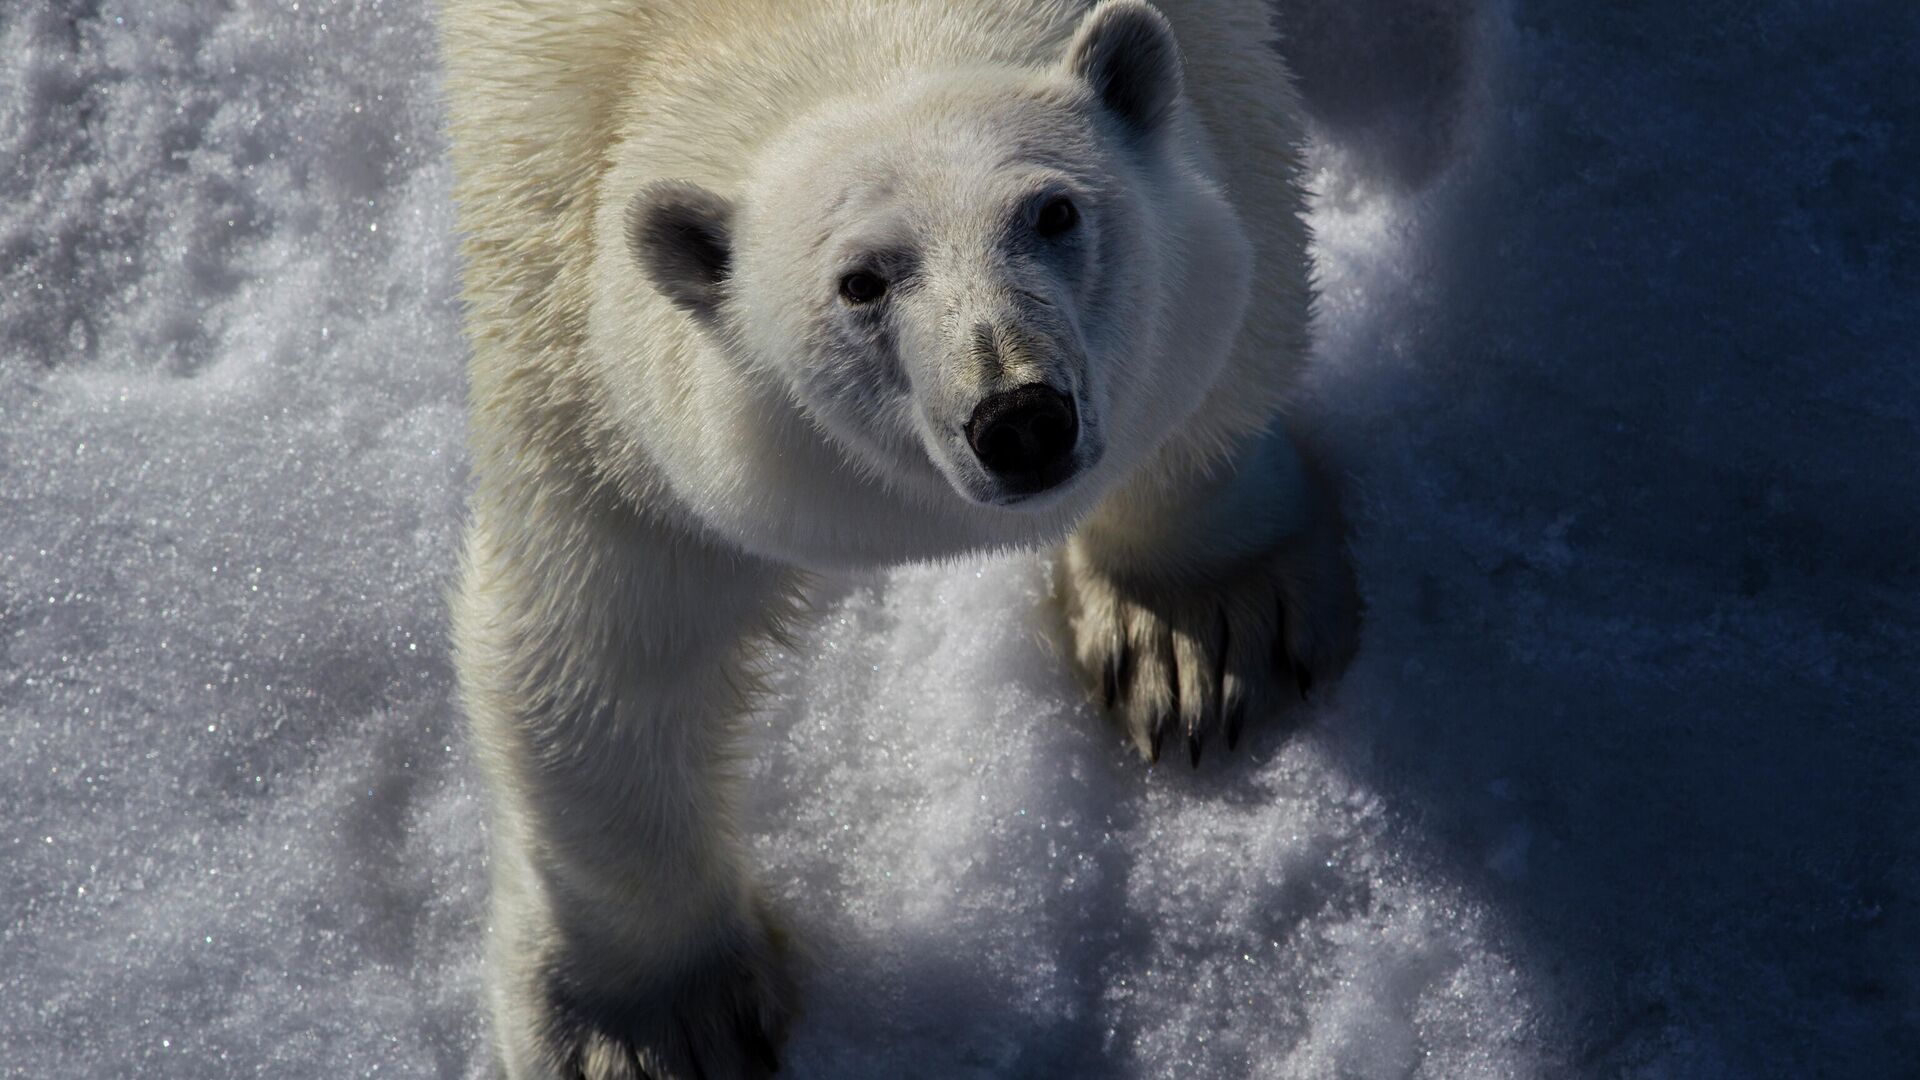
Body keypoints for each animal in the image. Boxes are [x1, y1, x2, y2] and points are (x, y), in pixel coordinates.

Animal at [439, 4, 1359, 1068]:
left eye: (1053, 211)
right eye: (861, 281)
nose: (1019, 417)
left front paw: (1195, 634)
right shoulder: (578, 321)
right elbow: (600, 645)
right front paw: (657, 1027)